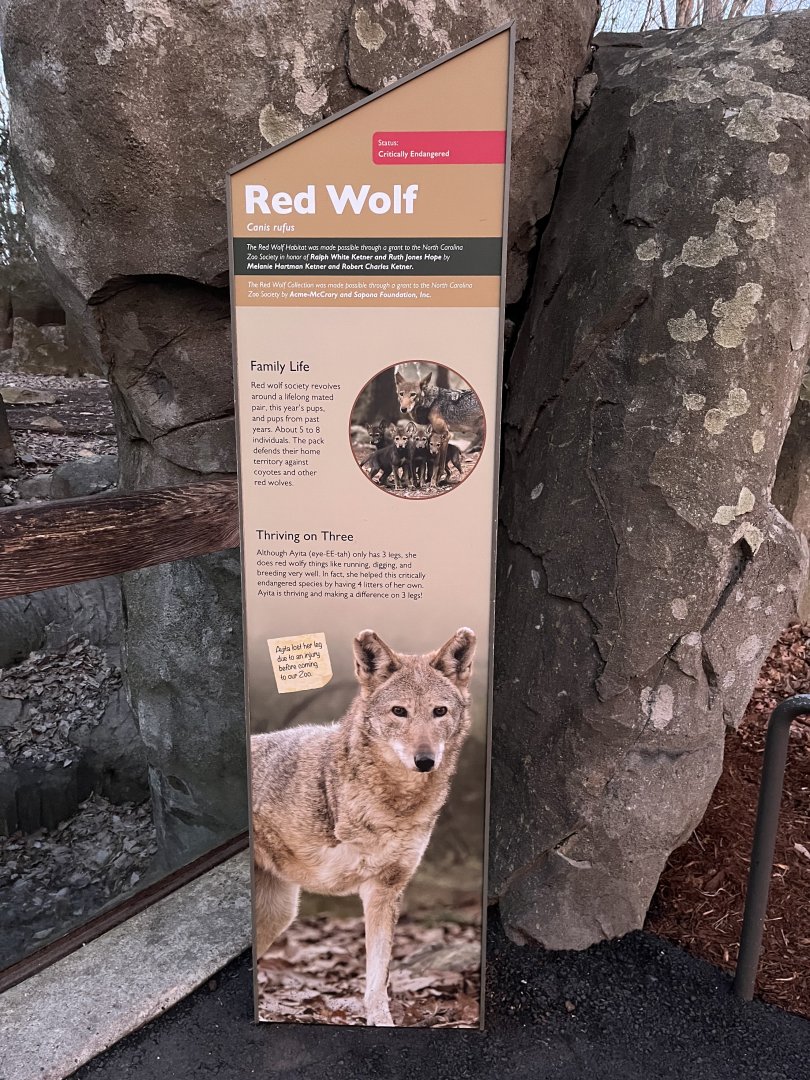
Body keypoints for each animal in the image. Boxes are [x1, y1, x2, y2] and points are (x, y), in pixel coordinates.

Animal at [250, 627, 477, 1026]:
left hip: (277, 915)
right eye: (399, 711)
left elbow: (377, 981)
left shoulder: (384, 889)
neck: (396, 805)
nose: (425, 760)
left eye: (440, 711)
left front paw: (382, 1023)